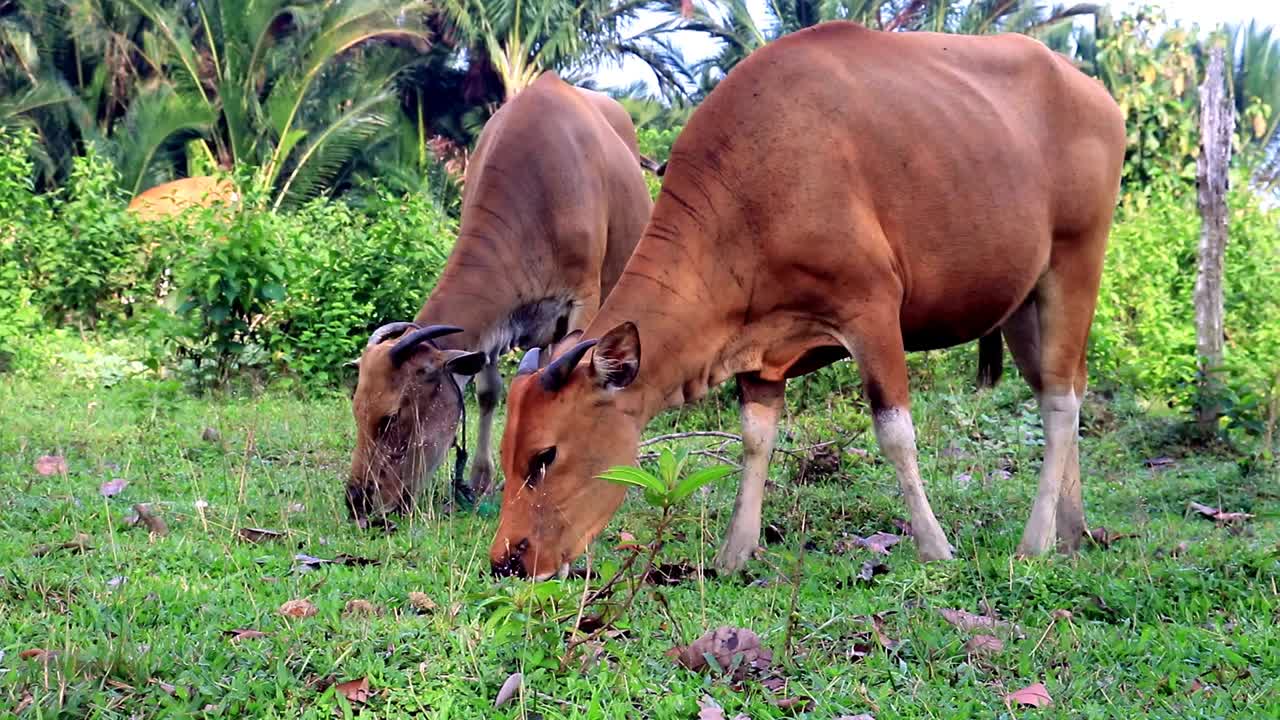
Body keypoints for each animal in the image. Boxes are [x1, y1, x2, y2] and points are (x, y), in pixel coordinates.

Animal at [348, 71, 655, 520]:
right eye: (356, 410)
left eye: (390, 418)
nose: (358, 501)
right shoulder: (497, 325)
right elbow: (490, 392)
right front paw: (479, 479)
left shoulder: (582, 302)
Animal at [486, 22, 1121, 579]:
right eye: (508, 455)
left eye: (544, 456)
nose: (507, 561)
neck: (752, 191)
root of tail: (1096, 94)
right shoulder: (755, 347)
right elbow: (754, 438)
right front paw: (735, 552)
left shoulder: (873, 311)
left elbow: (895, 433)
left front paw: (935, 546)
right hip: (1022, 300)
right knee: (1064, 386)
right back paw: (1072, 529)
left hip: (1075, 261)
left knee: (1060, 400)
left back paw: (1037, 540)